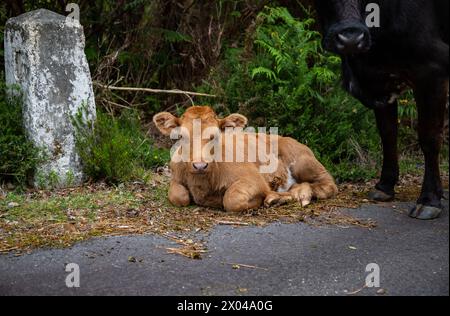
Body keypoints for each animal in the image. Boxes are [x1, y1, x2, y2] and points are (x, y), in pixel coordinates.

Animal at [314, 0, 448, 218]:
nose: (351, 38)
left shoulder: (432, 71)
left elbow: (429, 138)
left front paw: (429, 199)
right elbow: (388, 133)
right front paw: (385, 186)